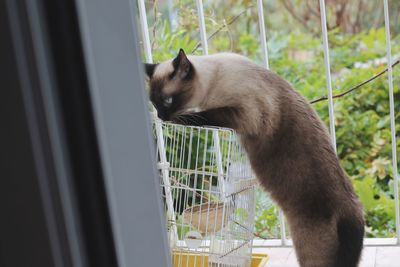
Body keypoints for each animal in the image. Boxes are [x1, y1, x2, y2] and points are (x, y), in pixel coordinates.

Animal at [145, 49, 364, 266]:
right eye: (154, 103)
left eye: (167, 101)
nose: (162, 116)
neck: (215, 77)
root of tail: (352, 208)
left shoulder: (244, 113)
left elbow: (204, 116)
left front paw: (183, 118)